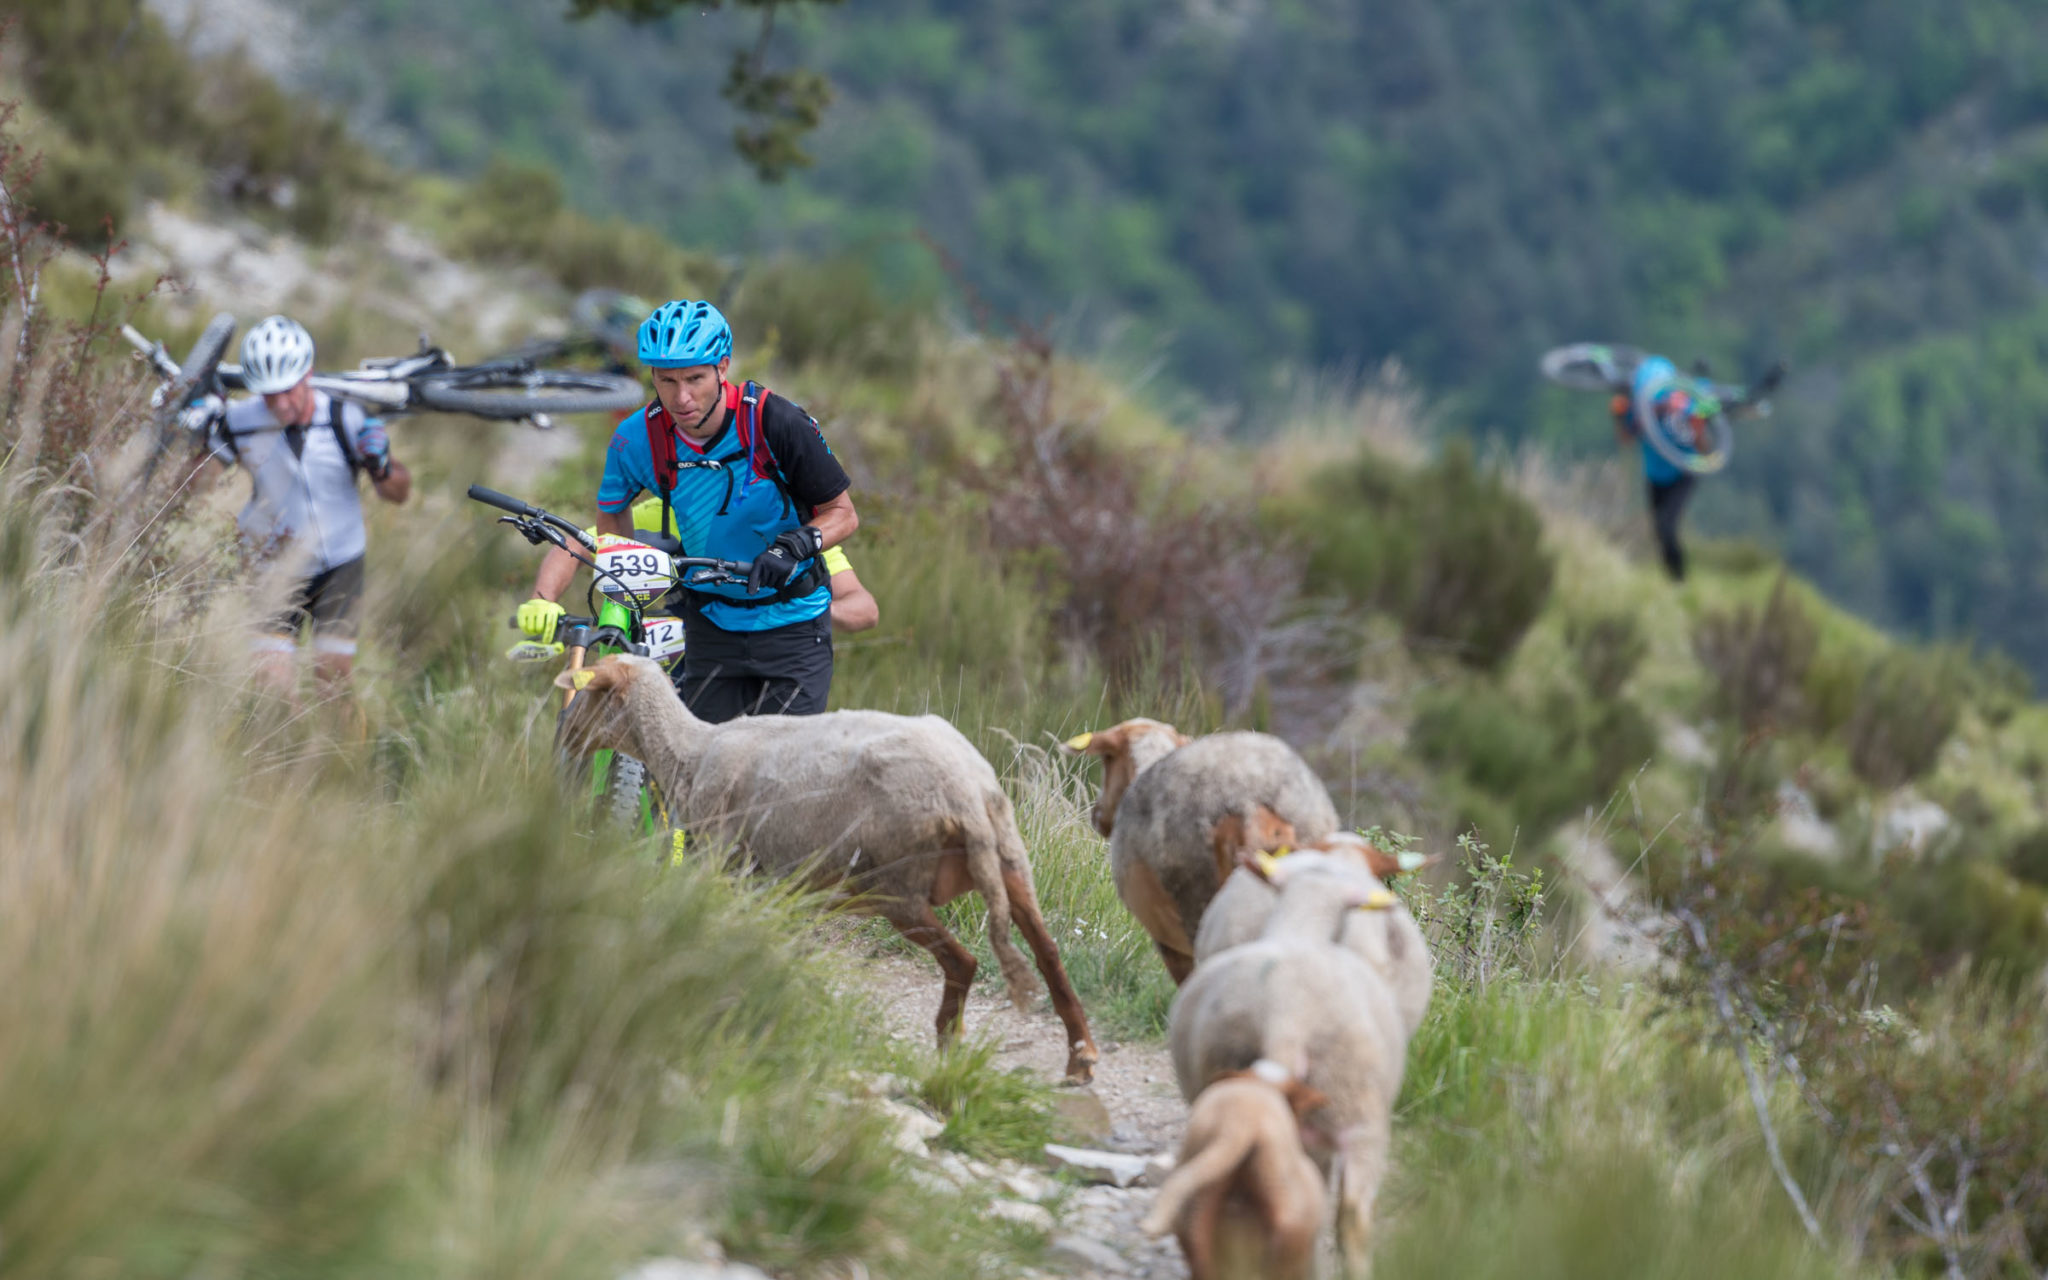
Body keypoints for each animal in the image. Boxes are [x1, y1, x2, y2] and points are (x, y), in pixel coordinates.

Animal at [561, 655, 1097, 1081]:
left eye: (587, 692)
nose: (565, 739)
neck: (687, 752)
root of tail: (965, 790)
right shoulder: (775, 881)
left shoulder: (720, 854)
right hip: (1010, 857)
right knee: (1049, 951)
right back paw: (1080, 1057)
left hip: (898, 881)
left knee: (963, 961)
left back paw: (949, 1042)